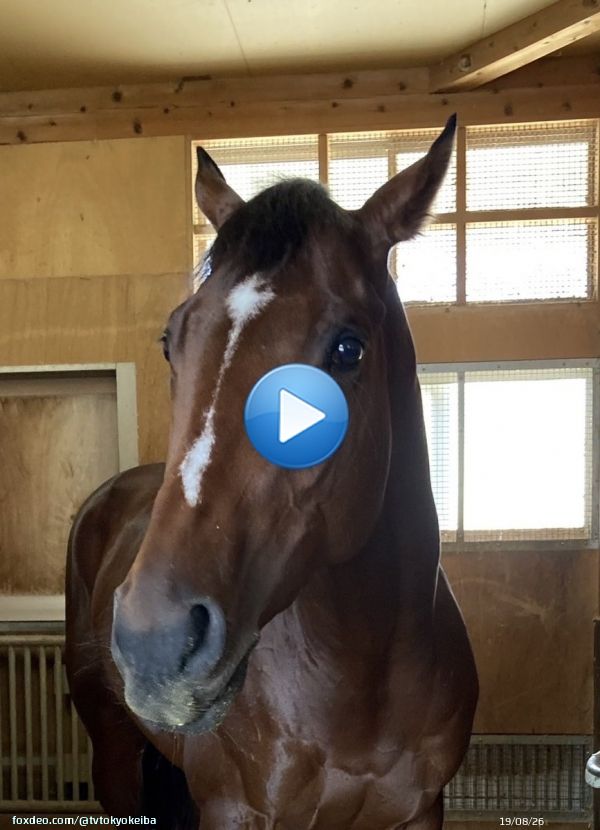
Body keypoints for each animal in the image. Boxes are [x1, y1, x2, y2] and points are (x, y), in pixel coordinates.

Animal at [65, 114, 478, 830]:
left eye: (348, 349)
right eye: (171, 341)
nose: (155, 641)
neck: (362, 681)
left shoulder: (421, 812)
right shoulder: (234, 810)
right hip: (112, 749)